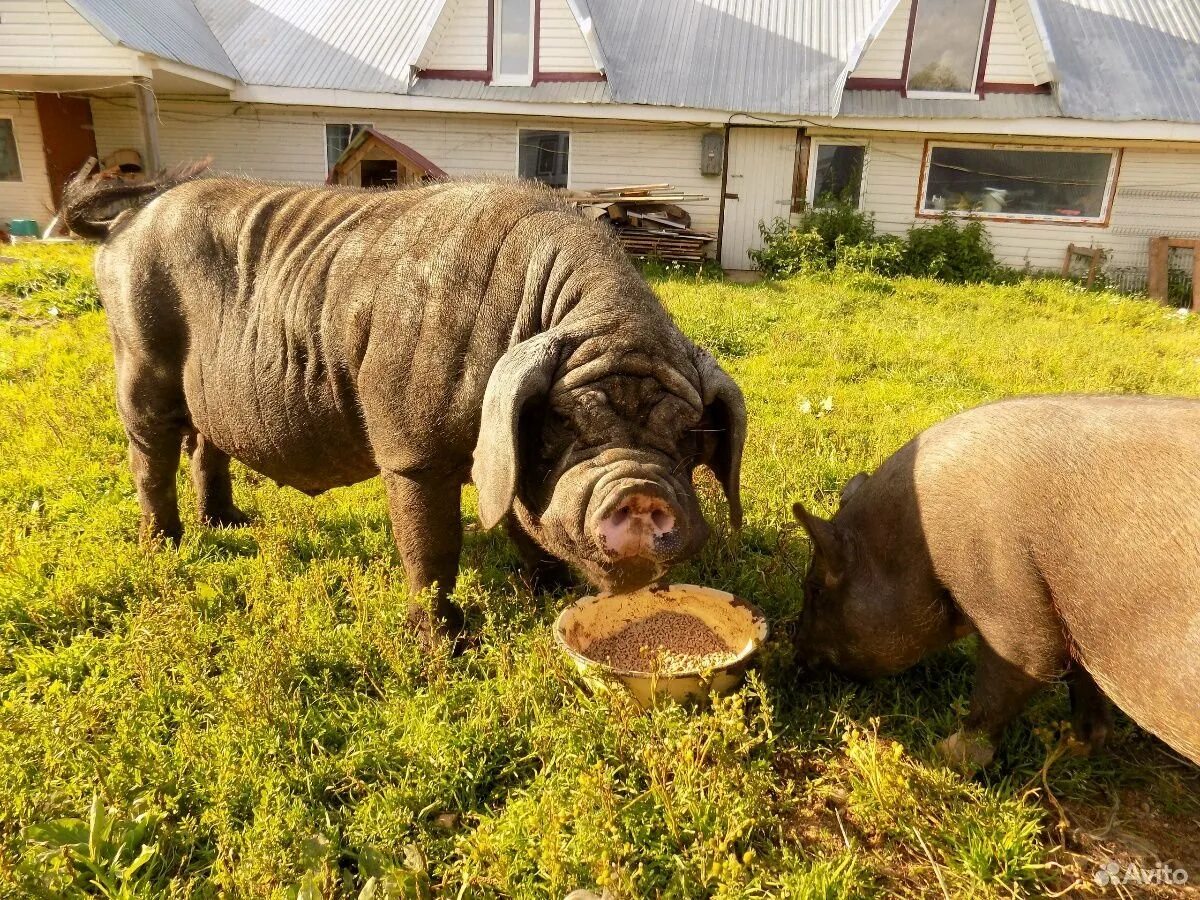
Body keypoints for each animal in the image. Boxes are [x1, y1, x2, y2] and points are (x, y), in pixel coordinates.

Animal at [65, 172, 744, 643]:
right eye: (564, 423)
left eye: (688, 437)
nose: (641, 490)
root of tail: (128, 221)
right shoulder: (411, 449)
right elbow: (433, 547)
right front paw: (444, 644)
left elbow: (516, 513)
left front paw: (548, 590)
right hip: (138, 349)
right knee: (149, 451)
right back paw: (168, 546)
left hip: (208, 391)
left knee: (206, 442)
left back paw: (231, 524)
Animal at [792, 393, 1195, 768]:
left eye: (814, 589)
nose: (795, 656)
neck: (917, 547)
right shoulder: (1075, 627)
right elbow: (1085, 690)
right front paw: (1069, 749)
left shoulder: (1002, 583)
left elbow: (1022, 666)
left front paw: (939, 754)